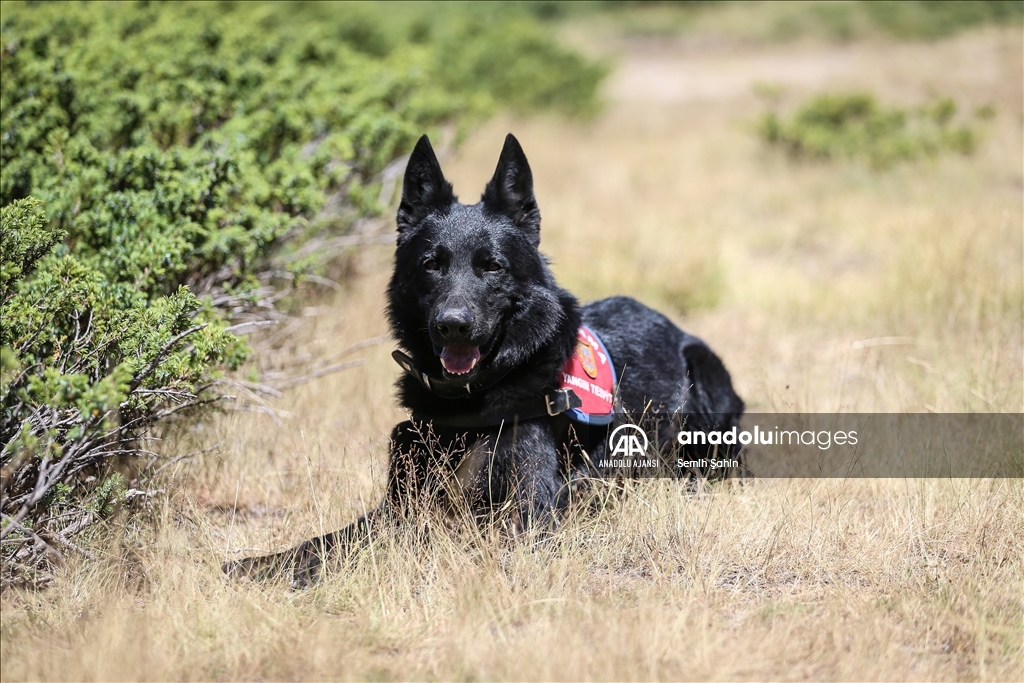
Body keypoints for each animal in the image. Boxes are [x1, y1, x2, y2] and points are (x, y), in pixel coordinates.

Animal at [228, 135, 745, 589]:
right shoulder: (400, 504)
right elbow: (331, 540)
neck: (470, 401)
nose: (452, 326)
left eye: (492, 266)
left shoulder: (523, 518)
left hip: (705, 381)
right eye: (431, 264)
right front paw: (268, 564)